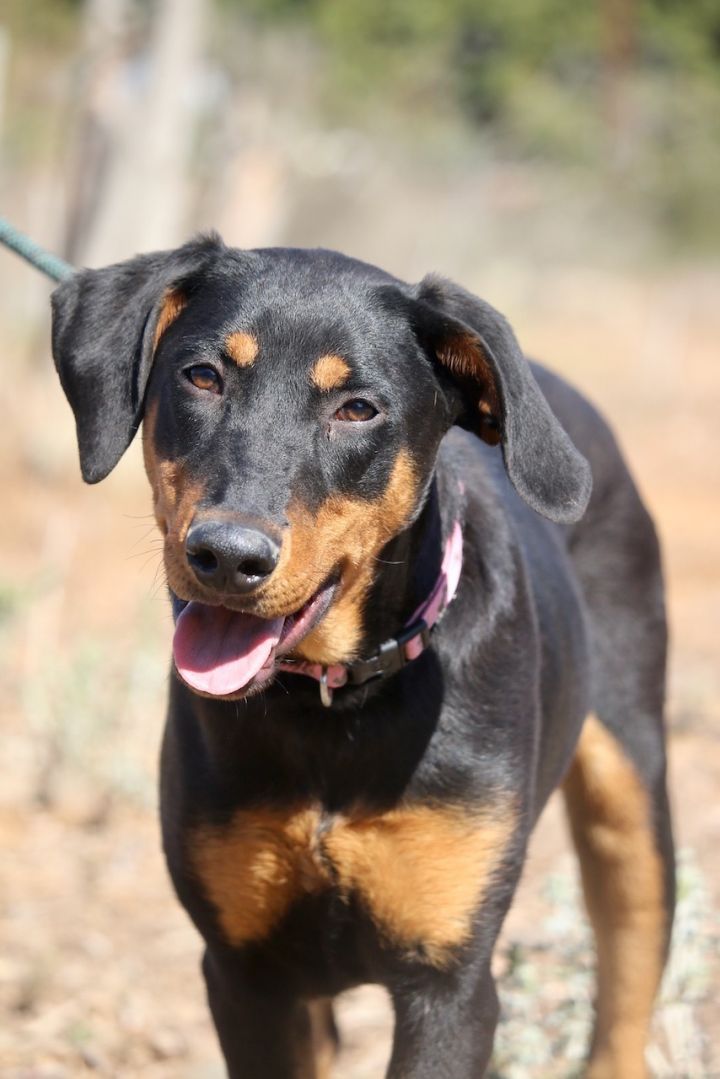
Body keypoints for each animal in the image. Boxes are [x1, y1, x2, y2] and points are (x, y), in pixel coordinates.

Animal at [52, 238, 677, 1079]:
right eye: (202, 376)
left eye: (358, 408)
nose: (227, 555)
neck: (333, 701)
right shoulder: (246, 972)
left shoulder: (450, 983)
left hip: (633, 789)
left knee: (627, 973)